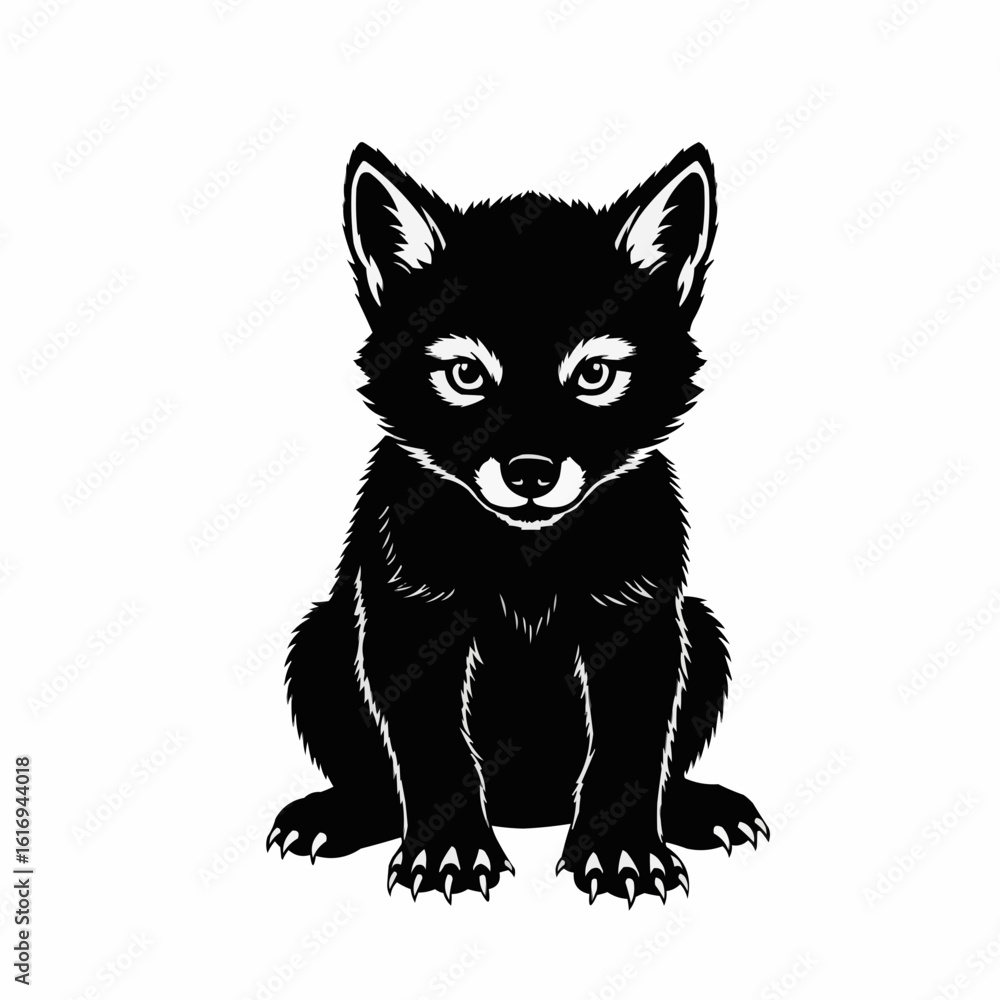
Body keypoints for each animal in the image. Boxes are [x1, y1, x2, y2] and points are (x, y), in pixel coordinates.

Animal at [268, 142, 768, 905]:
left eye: (594, 375)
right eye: (466, 375)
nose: (531, 472)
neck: (527, 558)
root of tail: (528, 809)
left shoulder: (637, 618)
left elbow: (628, 752)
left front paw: (622, 854)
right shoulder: (412, 619)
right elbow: (436, 754)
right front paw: (448, 851)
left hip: (702, 630)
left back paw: (693, 808)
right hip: (322, 638)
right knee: (379, 780)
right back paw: (340, 815)